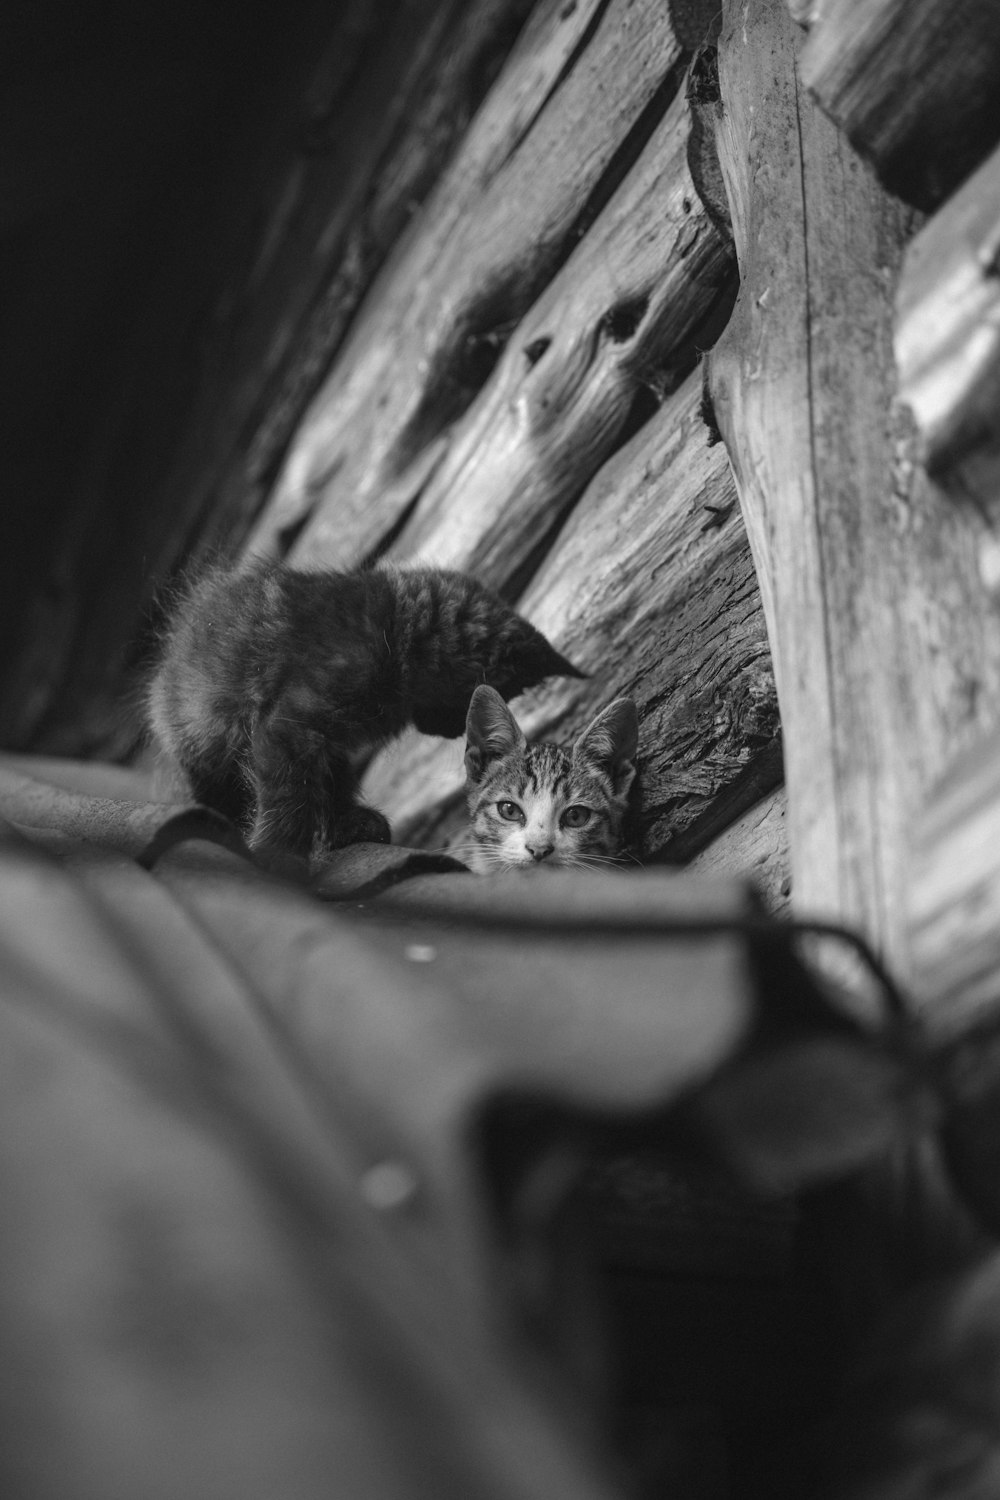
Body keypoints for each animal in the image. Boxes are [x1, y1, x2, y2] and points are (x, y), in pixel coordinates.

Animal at [145, 561, 581, 870]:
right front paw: (279, 855)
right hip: (203, 732)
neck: (400, 636)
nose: (453, 730)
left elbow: (330, 783)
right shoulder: (292, 725)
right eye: (476, 698)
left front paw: (346, 825)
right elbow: (291, 792)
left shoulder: (329, 739)